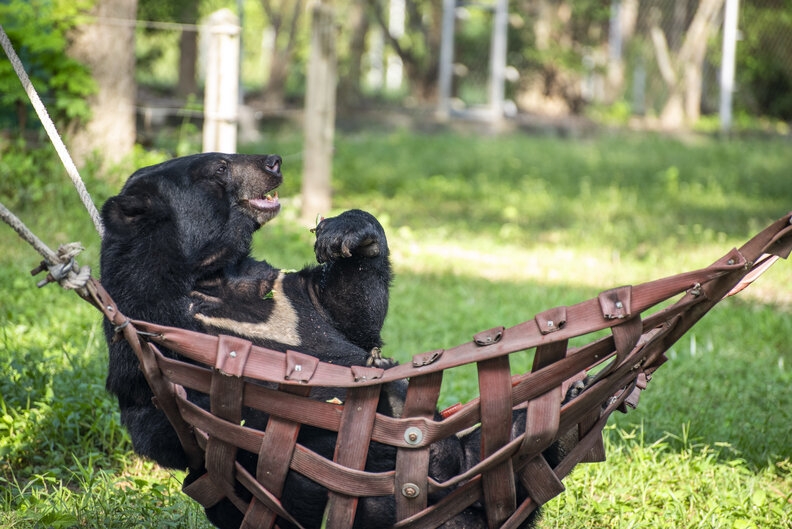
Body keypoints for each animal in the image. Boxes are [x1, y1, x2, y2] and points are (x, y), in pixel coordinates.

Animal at [100, 152, 573, 529]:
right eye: (218, 167)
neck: (209, 277)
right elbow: (183, 420)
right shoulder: (155, 325)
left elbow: (350, 310)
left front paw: (344, 233)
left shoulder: (279, 290)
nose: (274, 161)